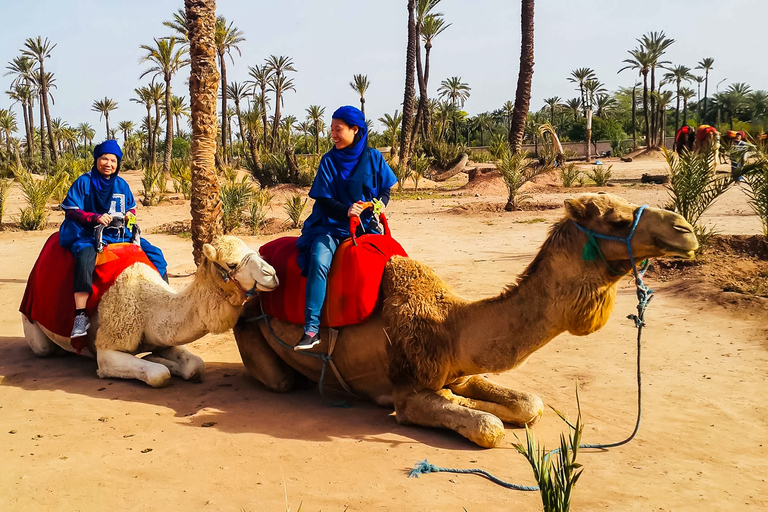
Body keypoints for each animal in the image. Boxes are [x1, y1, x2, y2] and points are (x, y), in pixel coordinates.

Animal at [20, 236, 280, 388]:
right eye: (231, 264)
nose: (272, 274)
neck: (148, 308)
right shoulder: (108, 348)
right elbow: (158, 374)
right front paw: (155, 363)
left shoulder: (163, 337)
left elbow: (195, 366)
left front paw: (156, 358)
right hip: (30, 319)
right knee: (43, 348)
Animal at [236, 194, 704, 446]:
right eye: (618, 220)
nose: (685, 230)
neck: (451, 326)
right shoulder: (410, 388)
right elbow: (488, 427)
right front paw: (477, 413)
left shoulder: (462, 371)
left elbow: (528, 404)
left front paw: (495, 407)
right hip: (252, 337)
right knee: (281, 380)